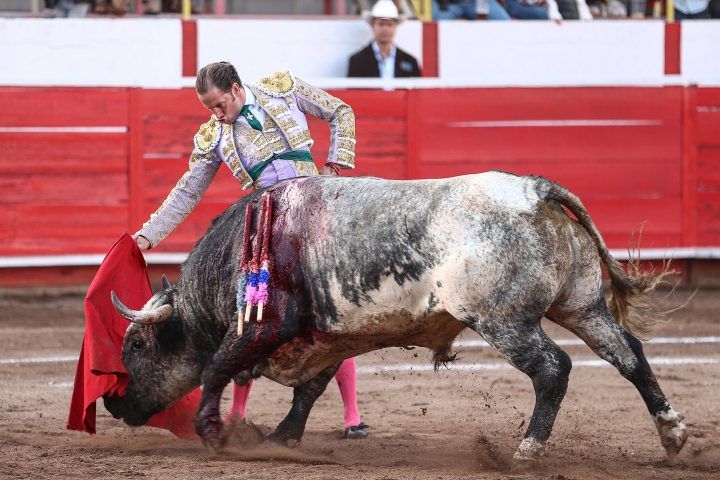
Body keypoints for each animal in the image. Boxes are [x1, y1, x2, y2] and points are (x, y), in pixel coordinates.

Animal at [104, 171, 687, 468]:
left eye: (136, 346)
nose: (111, 402)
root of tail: (535, 190)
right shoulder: (327, 337)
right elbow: (309, 389)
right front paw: (282, 437)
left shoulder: (265, 325)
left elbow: (216, 368)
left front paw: (214, 432)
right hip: (582, 305)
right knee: (629, 354)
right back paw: (673, 434)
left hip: (504, 321)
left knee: (552, 368)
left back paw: (527, 449)